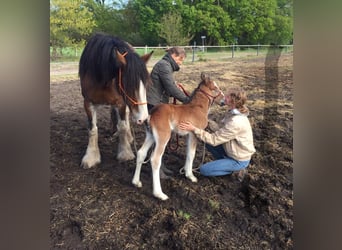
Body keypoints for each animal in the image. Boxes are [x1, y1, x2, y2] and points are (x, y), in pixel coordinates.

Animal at [79, 32, 153, 168]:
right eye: (128, 84)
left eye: (146, 84)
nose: (144, 118)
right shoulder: (88, 103)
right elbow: (92, 129)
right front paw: (91, 156)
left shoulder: (121, 102)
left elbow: (122, 126)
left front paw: (125, 153)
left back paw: (128, 137)